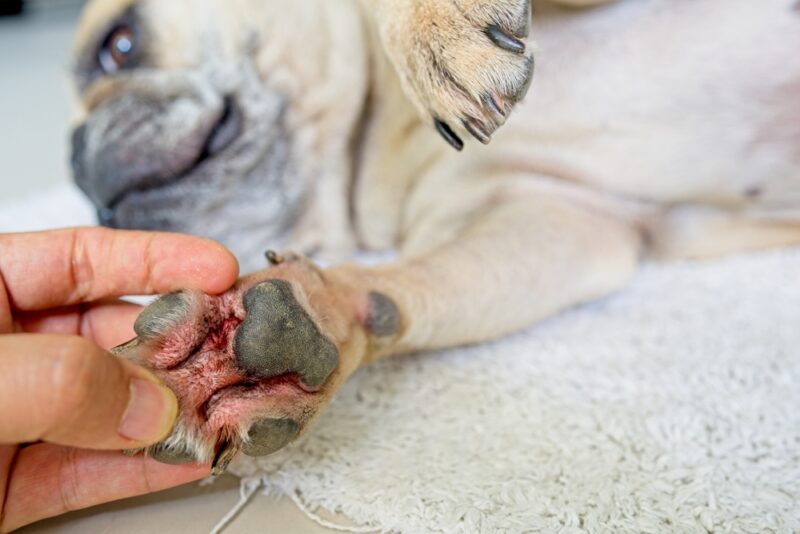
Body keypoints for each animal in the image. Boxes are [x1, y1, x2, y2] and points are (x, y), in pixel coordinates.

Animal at [70, 1, 800, 474]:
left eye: (119, 45)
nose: (77, 163)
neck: (378, 132)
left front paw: (432, 30)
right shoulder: (563, 220)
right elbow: (403, 290)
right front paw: (261, 343)